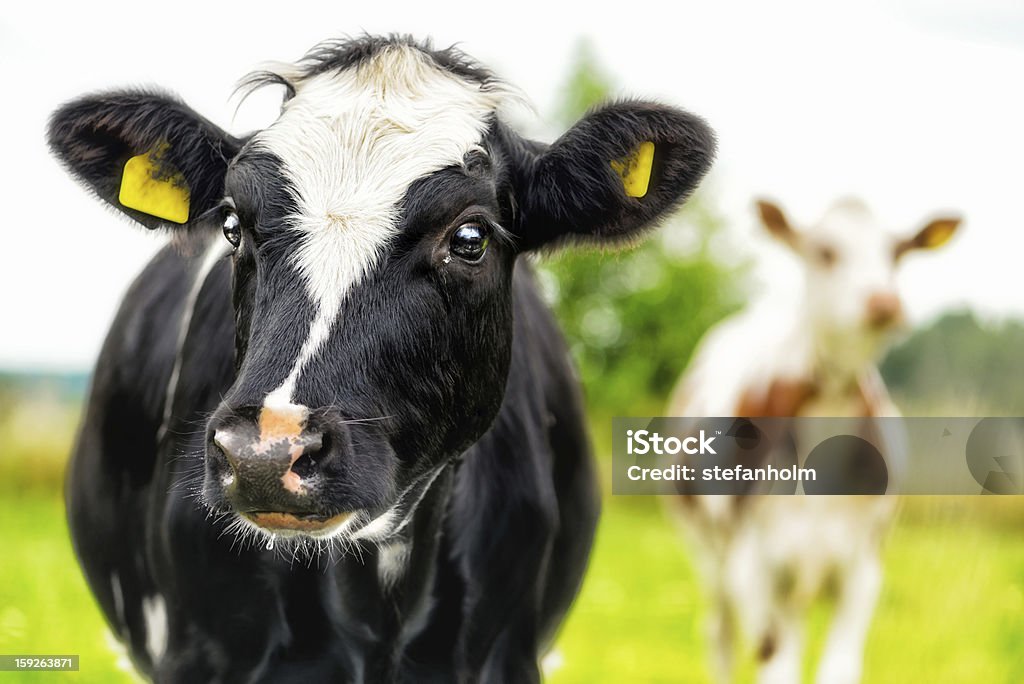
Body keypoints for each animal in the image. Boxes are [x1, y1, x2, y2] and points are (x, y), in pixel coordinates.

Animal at [663, 197, 958, 684]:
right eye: (825, 251)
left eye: (897, 253)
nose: (884, 303)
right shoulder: (753, 564)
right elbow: (773, 663)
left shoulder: (863, 566)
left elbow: (838, 668)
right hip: (708, 553)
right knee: (720, 634)